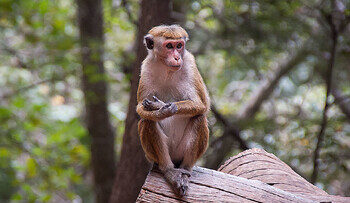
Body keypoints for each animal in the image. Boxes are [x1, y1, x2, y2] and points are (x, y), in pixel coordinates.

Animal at [135, 24, 209, 196]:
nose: (177, 57)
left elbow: (202, 105)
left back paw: (185, 170)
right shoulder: (146, 66)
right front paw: (161, 111)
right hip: (156, 155)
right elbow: (140, 107)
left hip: (181, 153)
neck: (166, 68)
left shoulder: (190, 63)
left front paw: (161, 106)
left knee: (199, 117)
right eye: (169, 46)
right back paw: (168, 170)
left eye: (179, 46)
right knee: (147, 121)